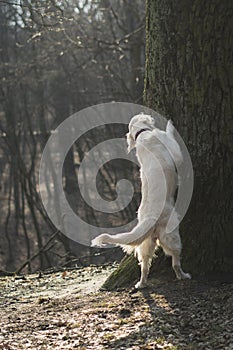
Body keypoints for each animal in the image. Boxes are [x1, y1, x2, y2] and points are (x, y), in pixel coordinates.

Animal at [91, 113, 191, 288]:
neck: (142, 134)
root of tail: (149, 219)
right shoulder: (175, 152)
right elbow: (171, 136)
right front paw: (170, 124)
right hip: (171, 236)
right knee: (175, 262)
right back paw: (183, 275)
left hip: (146, 244)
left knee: (144, 265)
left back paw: (141, 283)